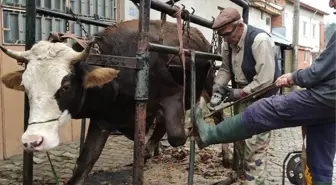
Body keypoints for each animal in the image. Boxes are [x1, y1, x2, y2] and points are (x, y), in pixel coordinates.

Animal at [0, 19, 215, 184]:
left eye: (66, 86)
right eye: (25, 86)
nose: (32, 141)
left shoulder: (173, 94)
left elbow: (177, 136)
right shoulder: (103, 120)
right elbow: (85, 161)